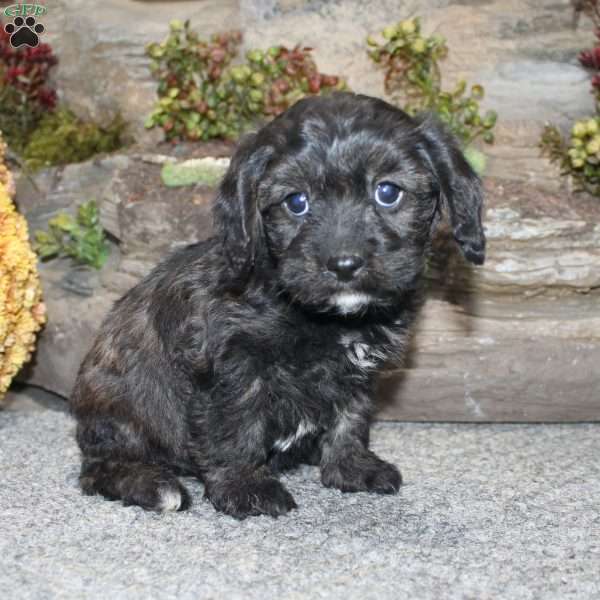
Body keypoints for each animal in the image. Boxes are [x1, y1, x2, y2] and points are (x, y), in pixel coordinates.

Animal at [70, 91, 486, 516]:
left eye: (388, 192)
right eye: (296, 202)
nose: (344, 264)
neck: (318, 315)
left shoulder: (358, 371)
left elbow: (351, 417)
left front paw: (350, 466)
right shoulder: (232, 365)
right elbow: (235, 425)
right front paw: (245, 485)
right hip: (120, 412)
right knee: (97, 468)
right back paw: (152, 484)